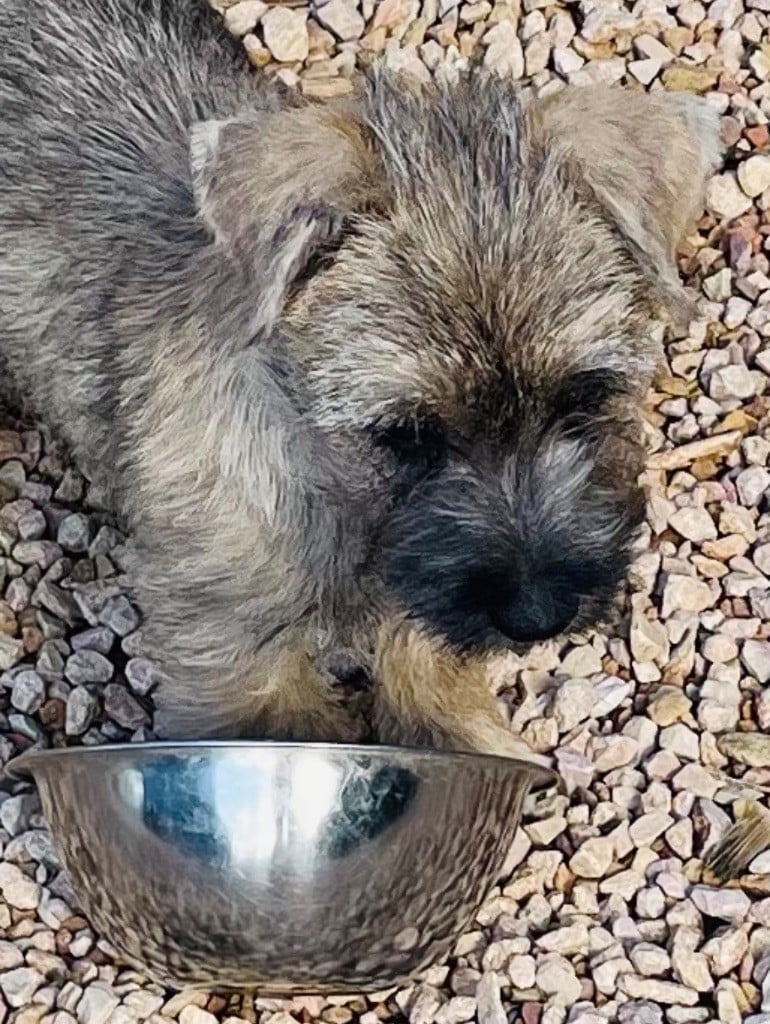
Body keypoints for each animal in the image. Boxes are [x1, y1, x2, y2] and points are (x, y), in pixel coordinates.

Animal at [0, 0, 722, 757]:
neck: (334, 493)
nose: (538, 614)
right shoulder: (237, 657)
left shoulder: (423, 629)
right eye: (407, 434)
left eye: (583, 395)